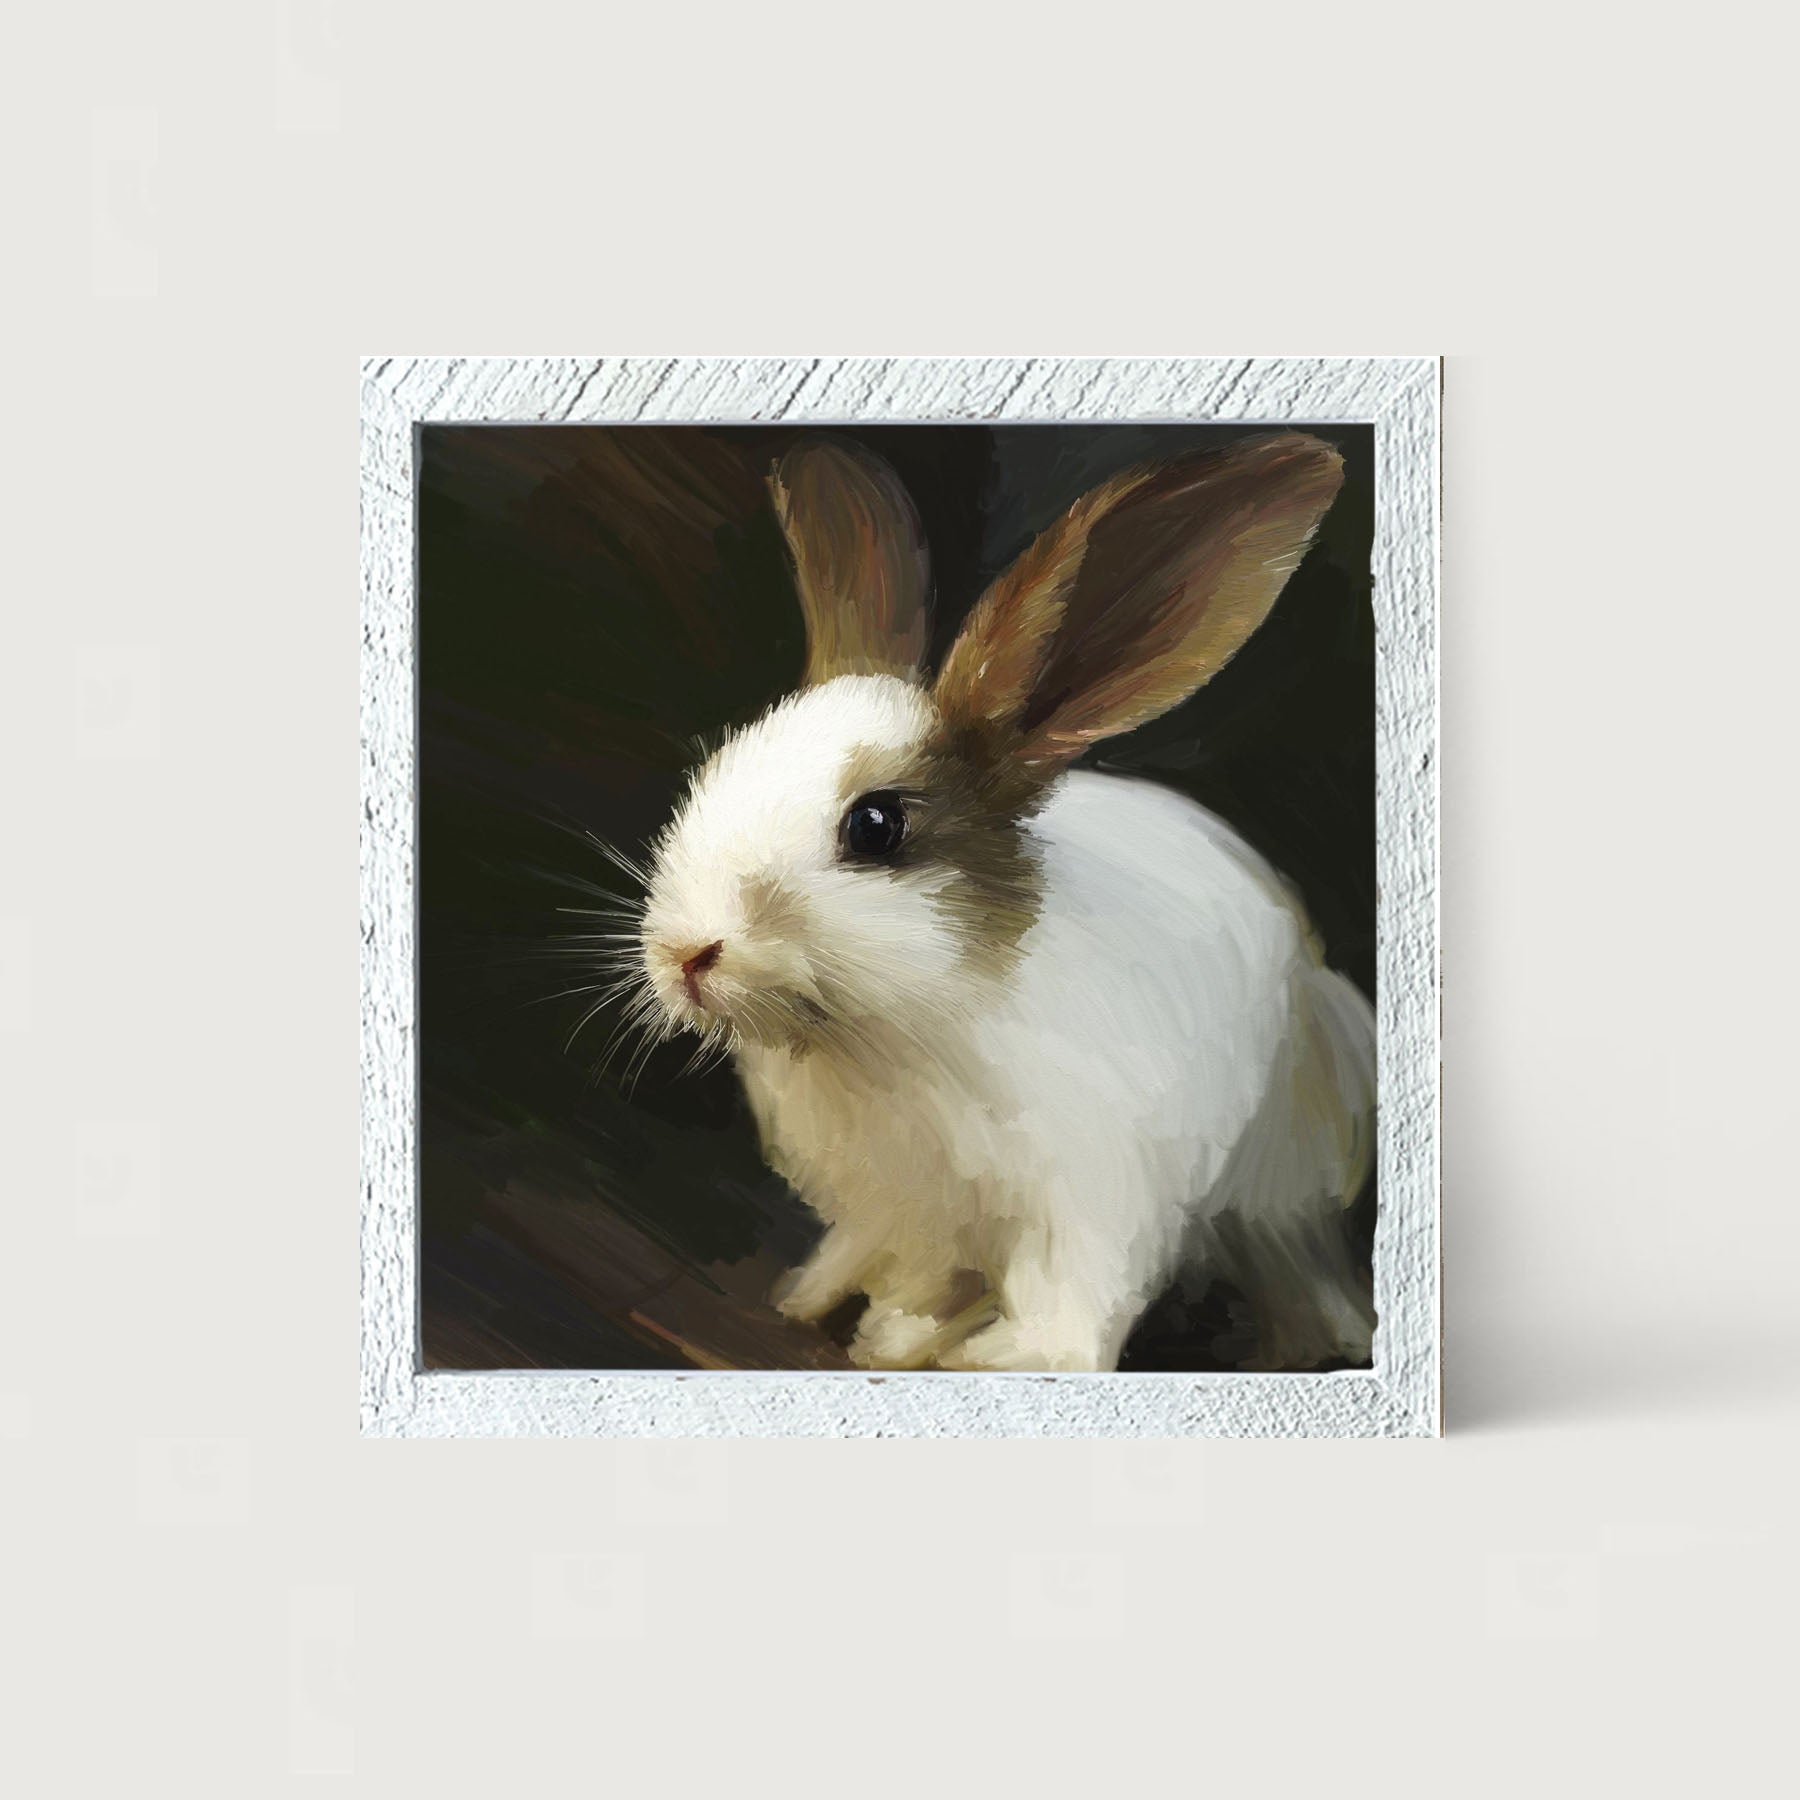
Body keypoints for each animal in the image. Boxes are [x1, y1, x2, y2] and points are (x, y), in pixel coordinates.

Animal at [629, 431, 1376, 1373]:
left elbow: (1071, 1302)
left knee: (1298, 1268)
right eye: (718, 766)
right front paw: (885, 1333)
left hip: (1285, 1187)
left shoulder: (1092, 1202)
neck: (892, 1034)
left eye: (876, 825)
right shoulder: (900, 1213)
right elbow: (916, 1278)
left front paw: (1001, 1358)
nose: (685, 953)